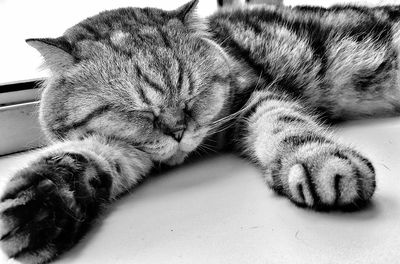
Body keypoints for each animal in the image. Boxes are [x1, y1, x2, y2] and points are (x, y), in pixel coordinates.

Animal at [0, 0, 400, 262]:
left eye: (192, 93)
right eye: (137, 111)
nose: (178, 131)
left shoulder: (252, 96)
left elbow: (284, 122)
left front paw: (320, 162)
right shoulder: (121, 147)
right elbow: (82, 158)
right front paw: (40, 207)